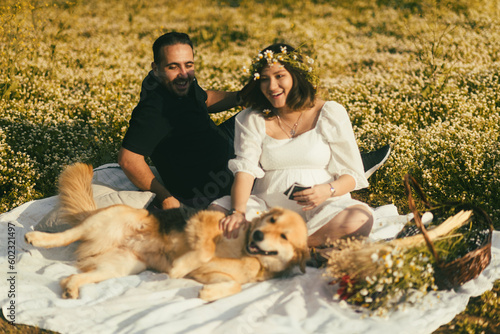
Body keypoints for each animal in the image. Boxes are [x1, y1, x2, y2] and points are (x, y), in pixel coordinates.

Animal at [24, 163, 308, 302]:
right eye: (270, 219)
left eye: (284, 235)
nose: (258, 236)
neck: (249, 255)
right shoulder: (205, 221)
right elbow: (204, 250)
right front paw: (180, 267)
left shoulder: (213, 276)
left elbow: (235, 285)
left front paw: (209, 294)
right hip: (111, 218)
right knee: (68, 234)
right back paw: (37, 238)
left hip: (121, 267)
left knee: (72, 276)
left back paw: (71, 288)